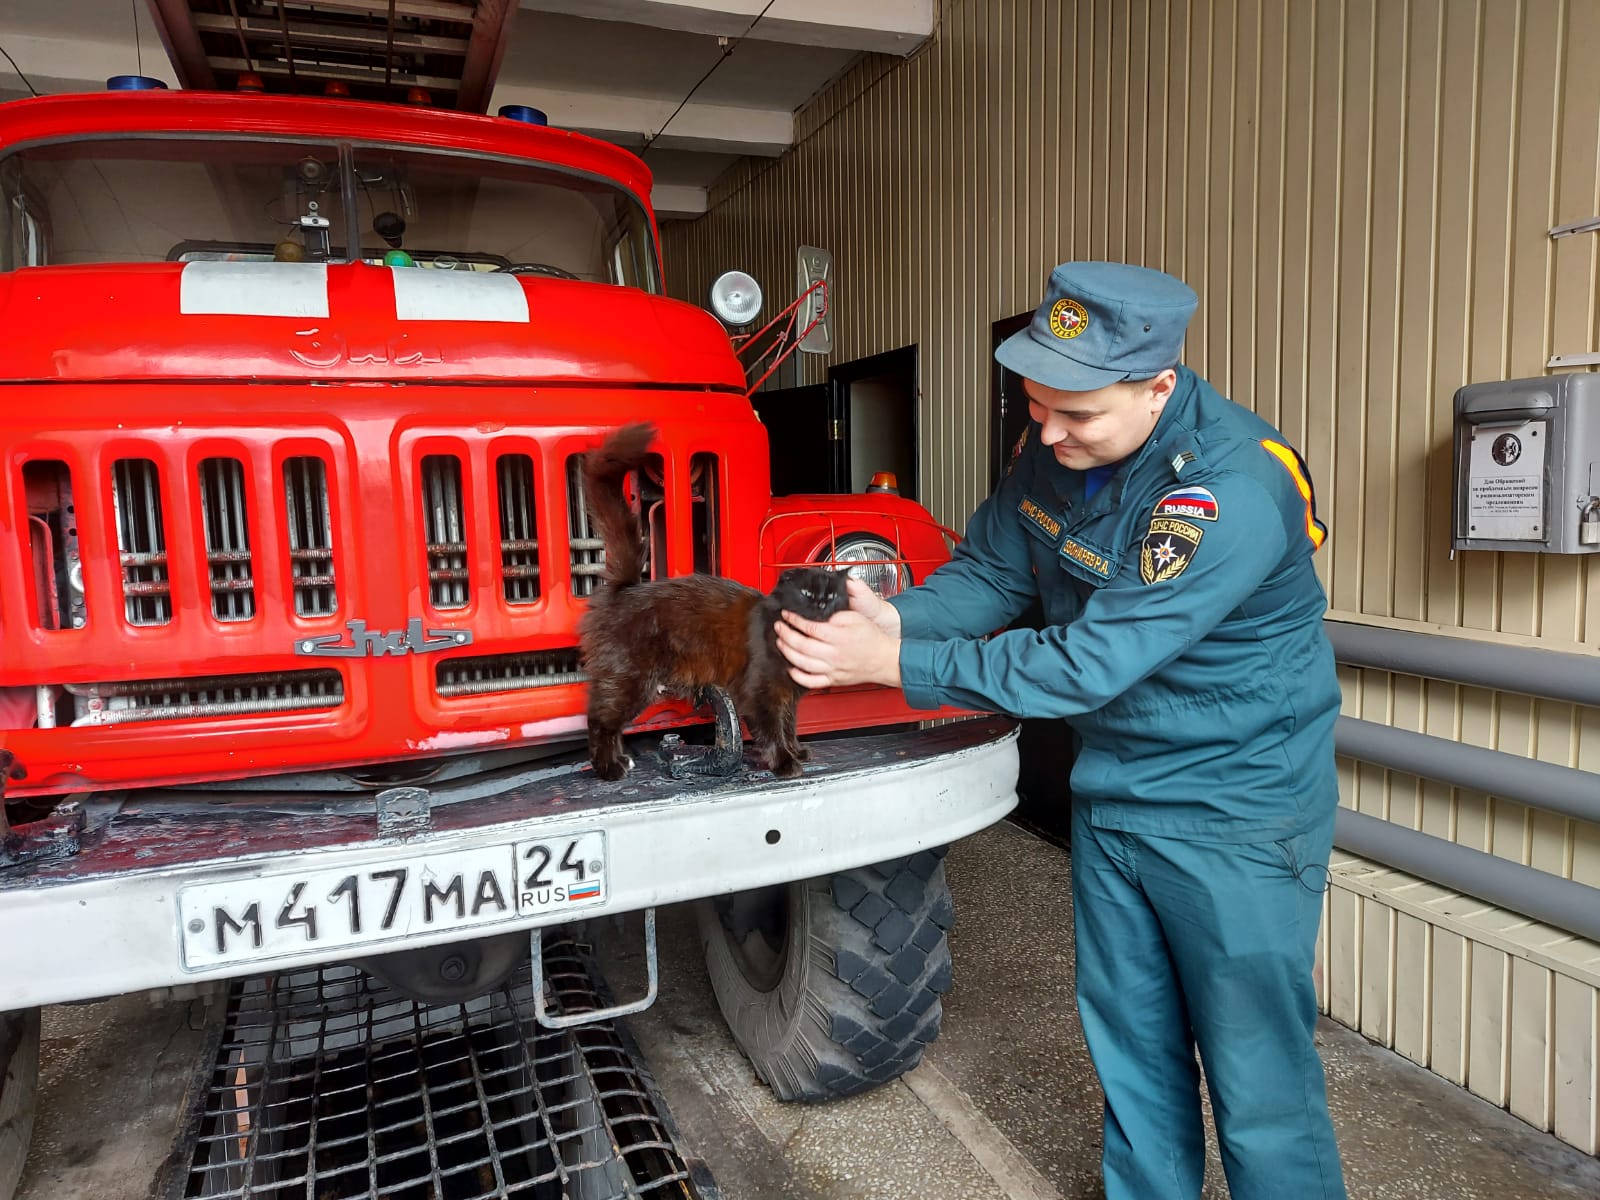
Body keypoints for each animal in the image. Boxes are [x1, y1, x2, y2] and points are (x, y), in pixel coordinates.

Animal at [576, 428, 851, 784]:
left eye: (831, 595)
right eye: (806, 592)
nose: (819, 605)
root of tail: (627, 589)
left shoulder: (788, 696)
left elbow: (789, 725)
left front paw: (797, 750)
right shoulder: (760, 693)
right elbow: (773, 731)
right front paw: (785, 763)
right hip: (631, 680)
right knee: (600, 719)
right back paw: (609, 768)